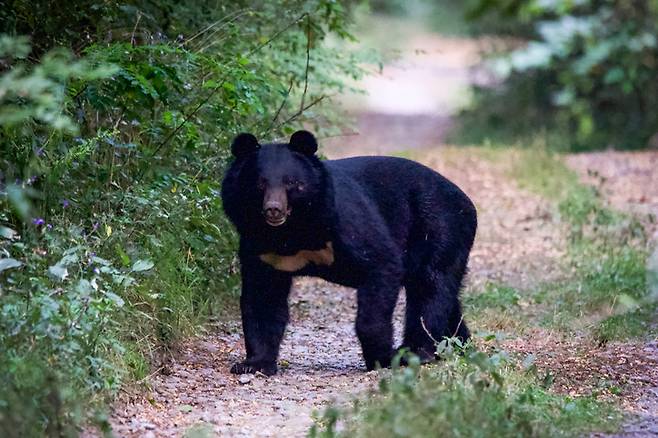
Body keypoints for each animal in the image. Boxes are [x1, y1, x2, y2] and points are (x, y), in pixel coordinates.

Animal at [222, 130, 476, 376]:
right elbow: (262, 299)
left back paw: (418, 351)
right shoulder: (261, 249)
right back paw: (458, 345)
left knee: (430, 288)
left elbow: (381, 264)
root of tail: (466, 200)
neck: (291, 232)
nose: (274, 209)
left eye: (292, 183)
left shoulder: (345, 224)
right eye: (259, 183)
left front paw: (381, 357)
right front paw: (253, 364)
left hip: (438, 227)